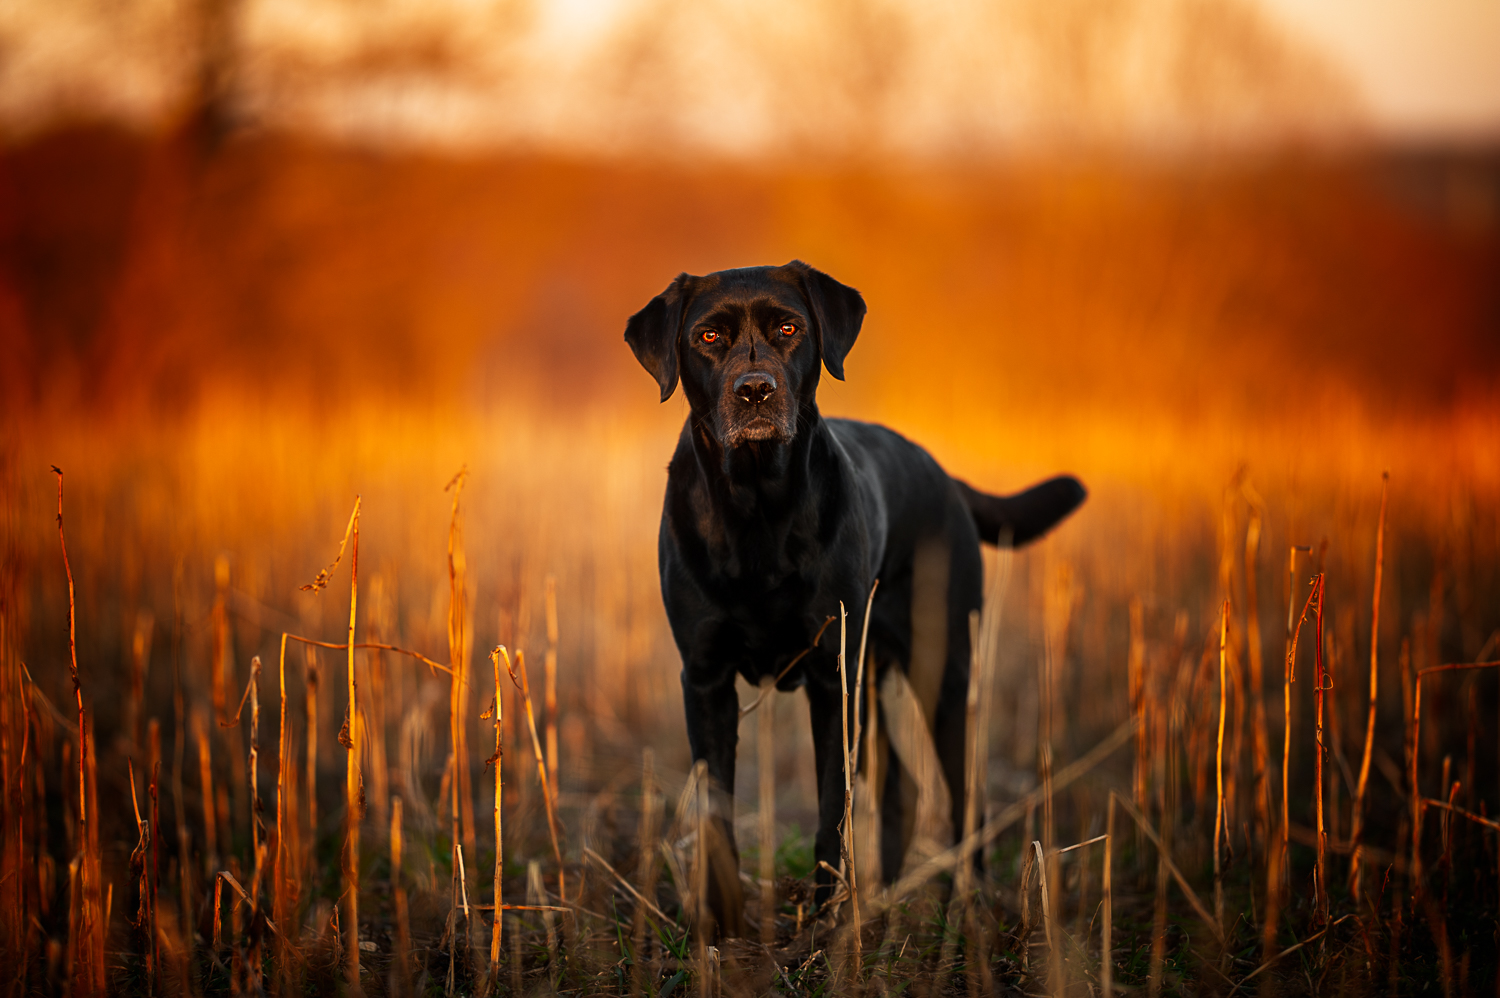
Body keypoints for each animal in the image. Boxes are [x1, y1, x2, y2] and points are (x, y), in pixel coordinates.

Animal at [627, 261, 1086, 930]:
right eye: (708, 337)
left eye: (788, 328)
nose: (755, 390)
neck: (756, 511)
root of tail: (941, 472)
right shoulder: (706, 679)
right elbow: (716, 817)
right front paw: (723, 926)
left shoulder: (829, 678)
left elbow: (830, 813)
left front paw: (823, 924)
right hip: (870, 677)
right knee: (903, 787)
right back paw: (887, 899)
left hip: (940, 669)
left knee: (963, 795)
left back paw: (965, 906)